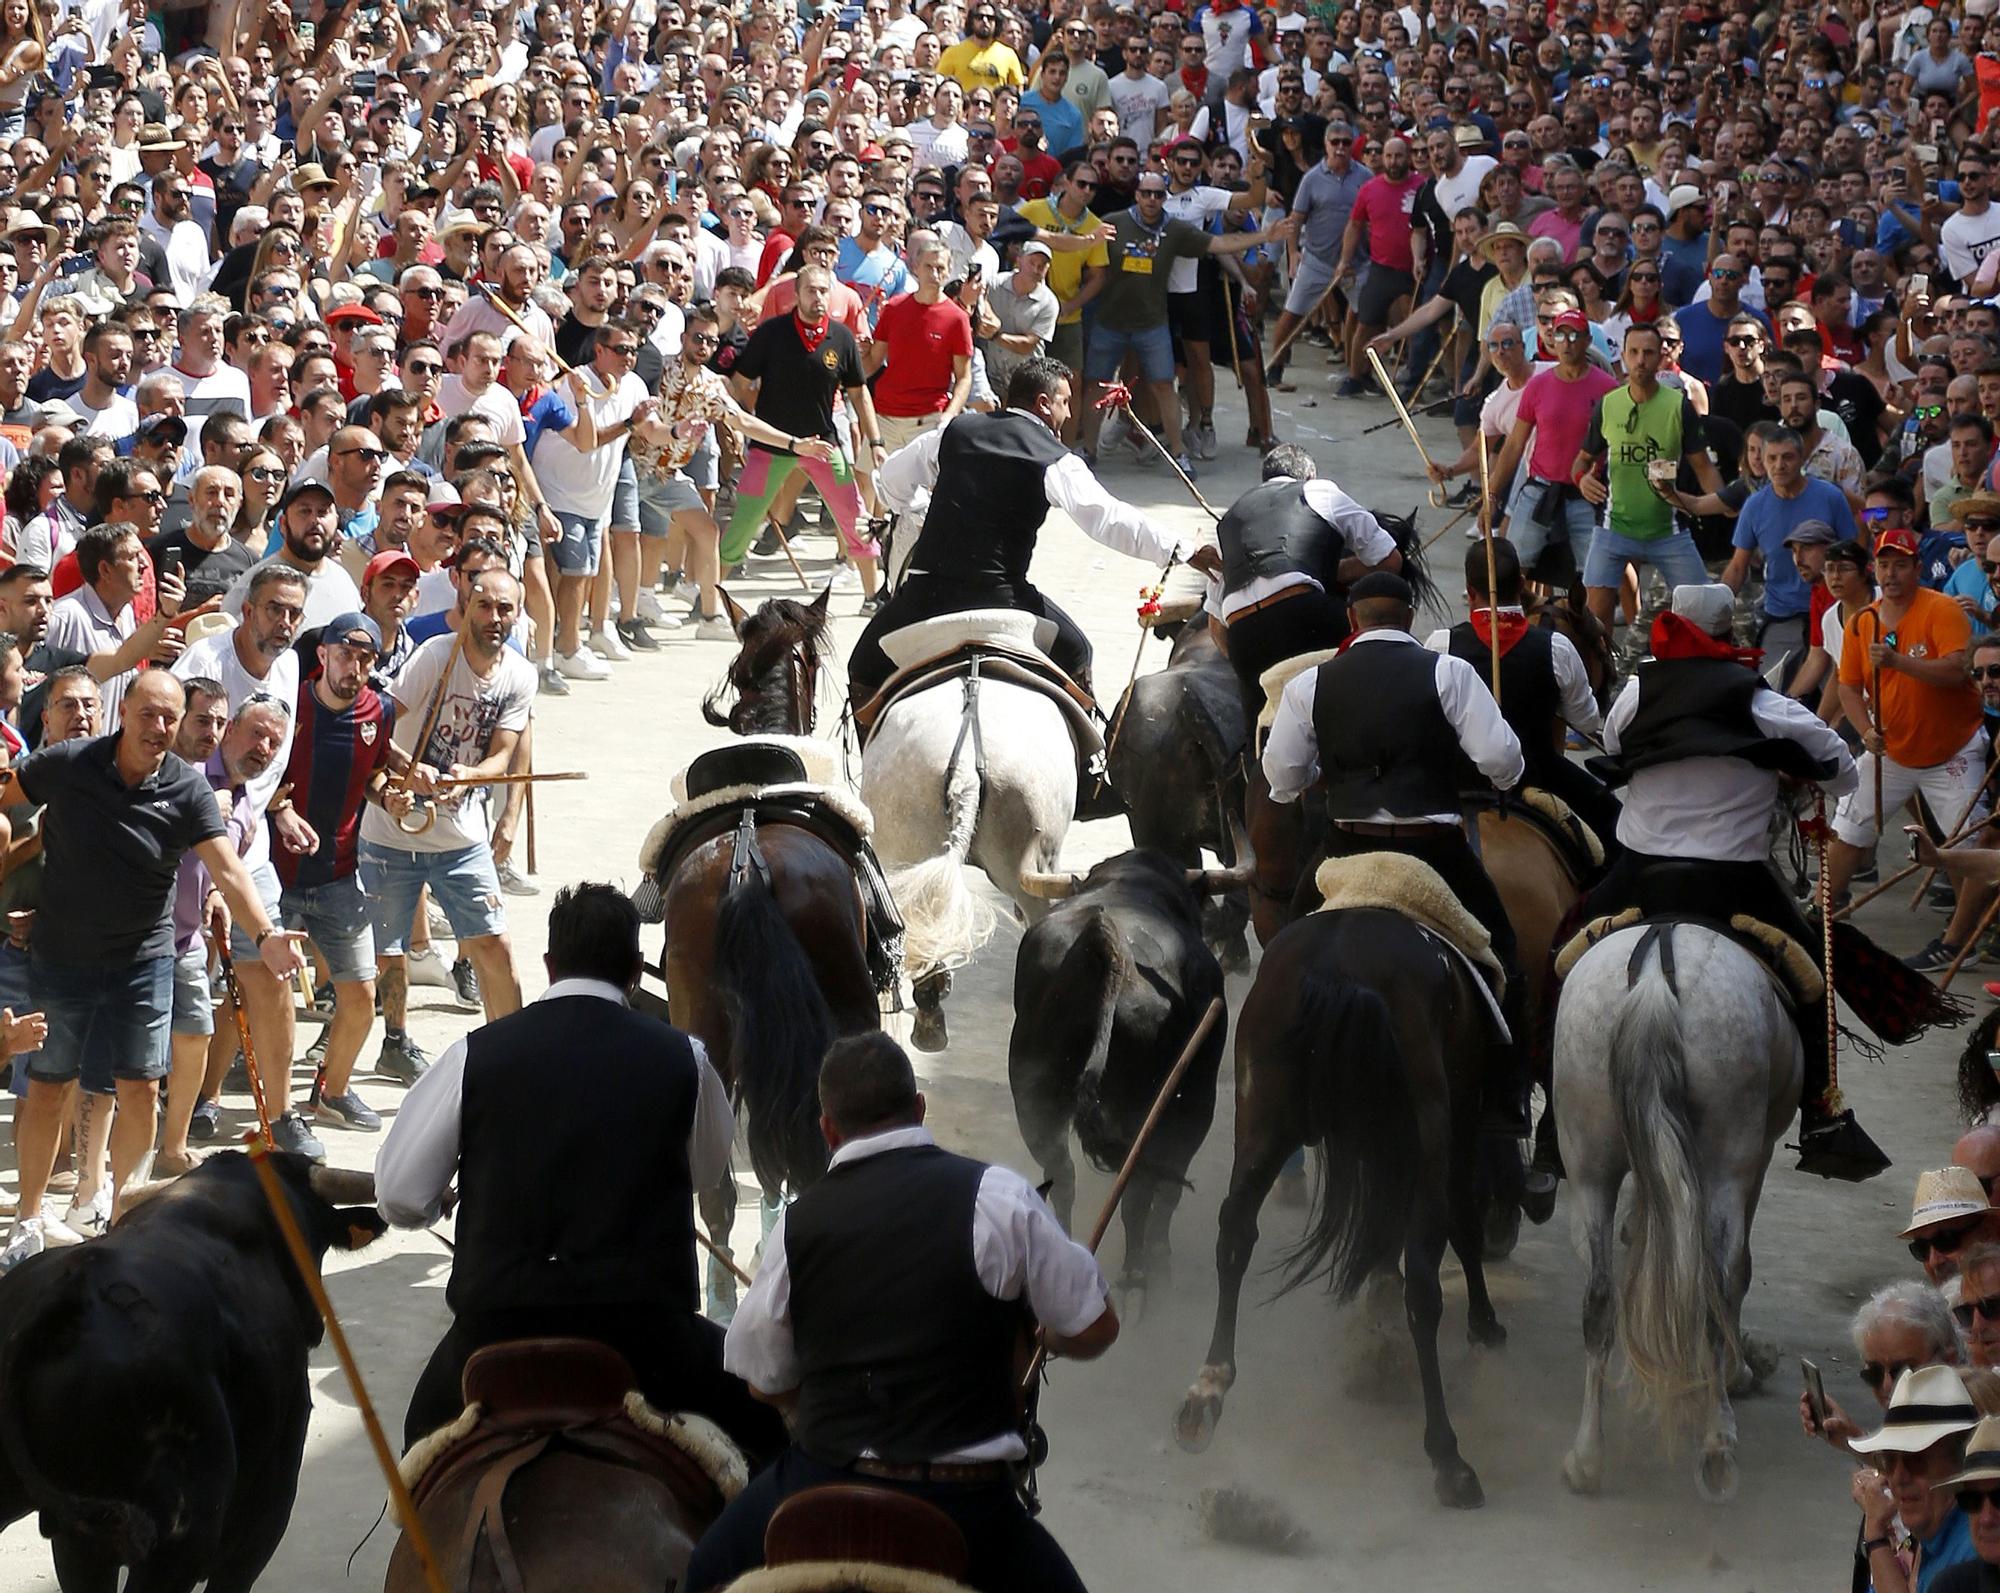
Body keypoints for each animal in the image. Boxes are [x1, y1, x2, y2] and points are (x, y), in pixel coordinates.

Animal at [1552, 928, 1808, 1496]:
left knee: (1599, 1298)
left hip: (1586, 1161)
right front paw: (1738, 1373)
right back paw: (1716, 1439)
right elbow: (1740, 1270)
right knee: (1716, 1283)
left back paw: (1586, 1456)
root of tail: (1652, 973)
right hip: (1726, 1159)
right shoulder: (1757, 1157)